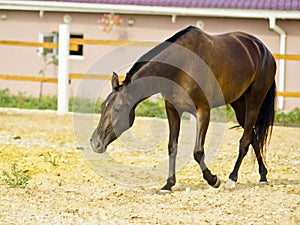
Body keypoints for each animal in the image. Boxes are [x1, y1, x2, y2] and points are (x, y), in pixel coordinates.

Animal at [89, 26, 276, 192]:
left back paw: (232, 180)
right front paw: (168, 184)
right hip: (239, 104)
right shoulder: (172, 110)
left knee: (245, 141)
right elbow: (172, 147)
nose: (95, 143)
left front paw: (213, 180)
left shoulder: (203, 111)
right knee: (253, 138)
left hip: (254, 101)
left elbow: (198, 152)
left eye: (118, 109)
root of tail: (264, 50)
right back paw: (263, 176)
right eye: (103, 106)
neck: (181, 66)